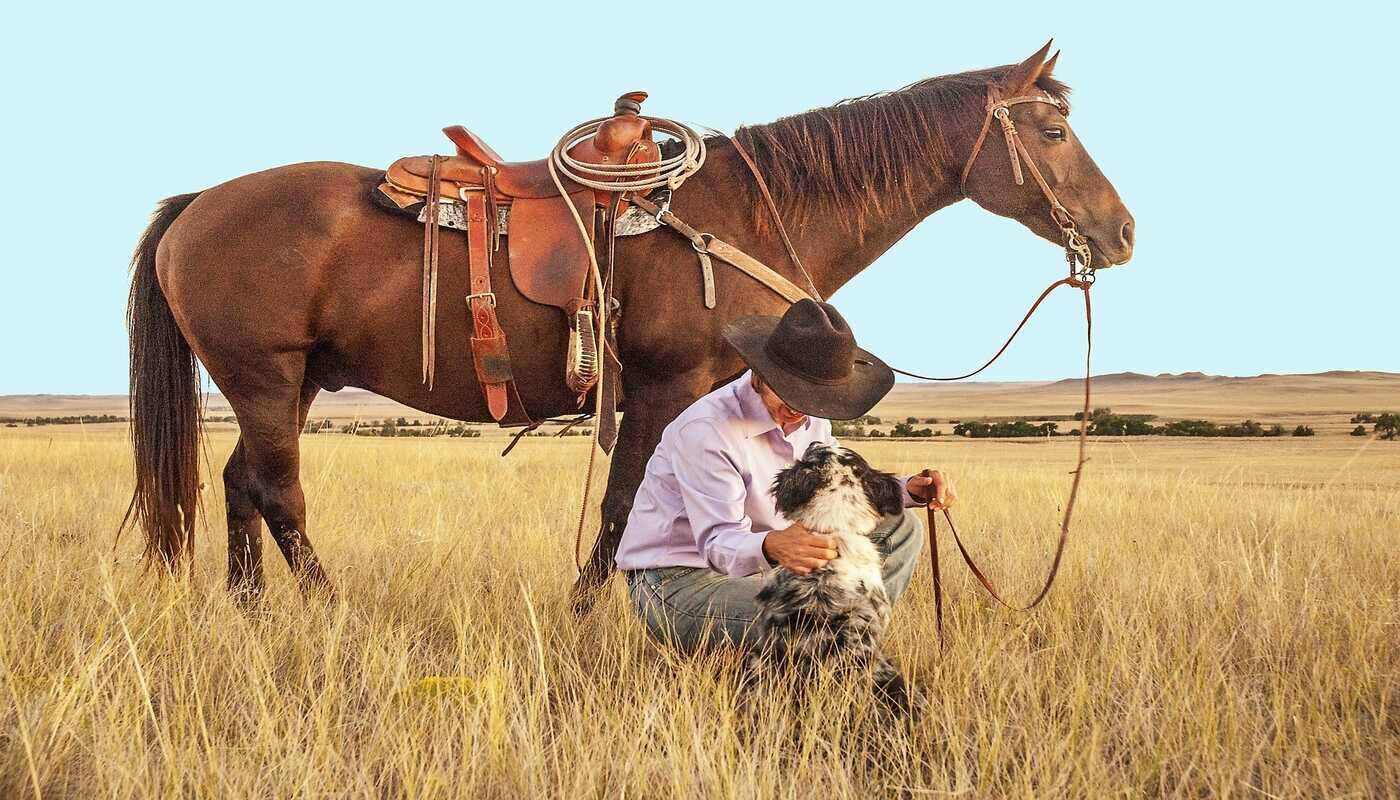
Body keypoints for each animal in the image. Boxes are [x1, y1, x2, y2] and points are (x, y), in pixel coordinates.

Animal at [122, 42, 1133, 611]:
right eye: (1051, 133)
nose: (1122, 232)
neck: (746, 216)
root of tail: (199, 203)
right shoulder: (661, 386)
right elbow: (623, 505)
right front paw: (586, 613)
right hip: (262, 377)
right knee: (280, 494)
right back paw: (326, 609)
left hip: (286, 384)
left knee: (241, 484)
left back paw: (250, 610)